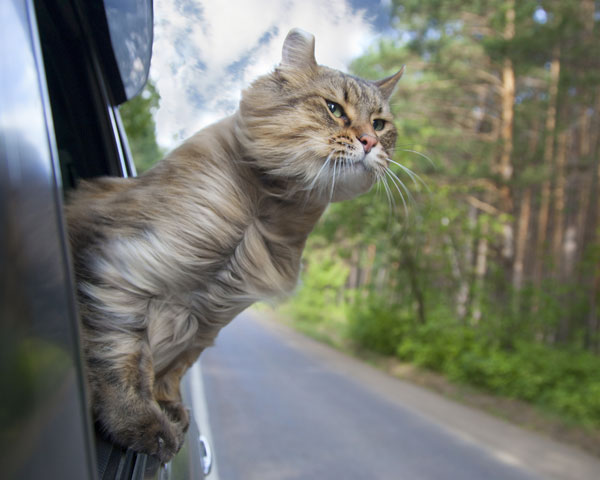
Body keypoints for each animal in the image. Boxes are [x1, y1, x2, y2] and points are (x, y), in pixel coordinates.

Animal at [65, 29, 404, 462]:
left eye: (380, 123)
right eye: (334, 109)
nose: (369, 141)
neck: (263, 212)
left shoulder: (211, 317)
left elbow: (174, 367)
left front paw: (169, 406)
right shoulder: (124, 269)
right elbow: (123, 356)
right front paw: (142, 422)